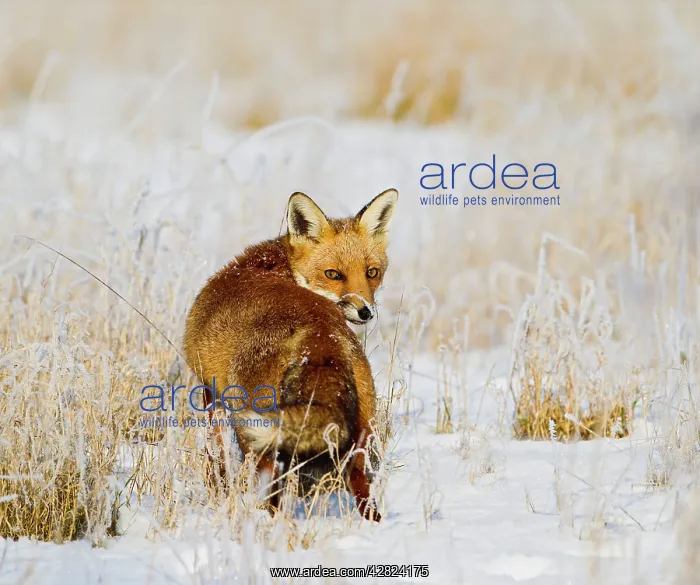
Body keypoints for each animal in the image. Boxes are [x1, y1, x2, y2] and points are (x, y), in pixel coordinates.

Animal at [183, 188, 398, 521]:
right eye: (333, 274)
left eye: (371, 272)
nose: (365, 311)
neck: (278, 264)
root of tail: (321, 337)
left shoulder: (209, 391)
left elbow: (215, 458)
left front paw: (218, 494)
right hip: (362, 434)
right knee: (364, 494)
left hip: (257, 431)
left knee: (272, 496)